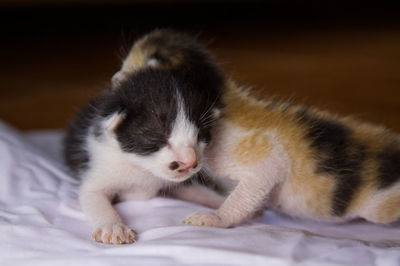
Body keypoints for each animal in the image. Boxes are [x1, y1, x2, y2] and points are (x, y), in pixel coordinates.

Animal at [63, 30, 225, 244]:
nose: (189, 162)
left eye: (201, 134)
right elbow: (93, 196)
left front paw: (222, 205)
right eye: (159, 134)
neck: (141, 168)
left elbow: (197, 190)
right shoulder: (98, 166)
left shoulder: (174, 182)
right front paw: (113, 227)